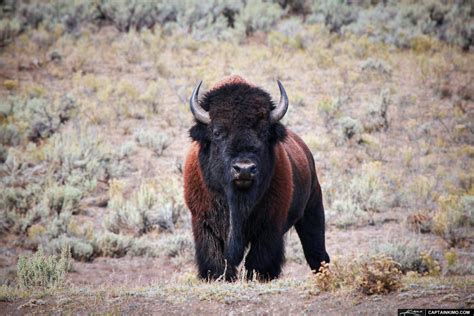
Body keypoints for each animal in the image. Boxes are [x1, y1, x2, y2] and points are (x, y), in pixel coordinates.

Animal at [182, 76, 330, 282]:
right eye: (217, 132)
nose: (244, 169)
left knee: (316, 253)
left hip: (312, 211)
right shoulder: (204, 223)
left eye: (264, 132)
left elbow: (258, 260)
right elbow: (216, 259)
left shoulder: (269, 226)